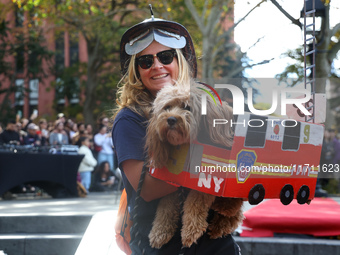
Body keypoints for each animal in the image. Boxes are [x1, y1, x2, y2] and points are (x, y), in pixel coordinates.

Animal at [146, 80, 244, 248]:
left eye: (187, 107)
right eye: (167, 107)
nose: (171, 119)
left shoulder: (204, 180)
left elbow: (195, 203)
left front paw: (190, 231)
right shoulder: (170, 181)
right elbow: (166, 206)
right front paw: (160, 231)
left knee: (235, 208)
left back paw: (223, 216)